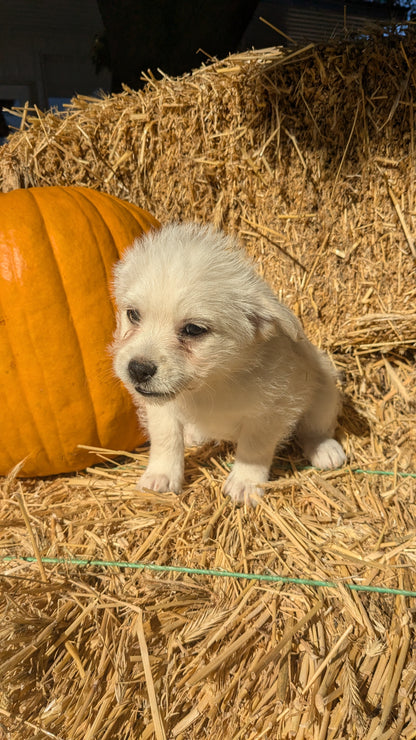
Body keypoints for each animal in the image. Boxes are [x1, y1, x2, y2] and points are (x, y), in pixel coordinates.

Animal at [112, 223, 346, 506]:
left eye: (193, 329)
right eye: (133, 314)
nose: (137, 369)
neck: (214, 381)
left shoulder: (270, 413)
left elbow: (253, 449)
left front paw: (245, 482)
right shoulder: (161, 409)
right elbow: (166, 439)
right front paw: (161, 476)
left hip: (326, 393)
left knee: (314, 428)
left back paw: (324, 449)